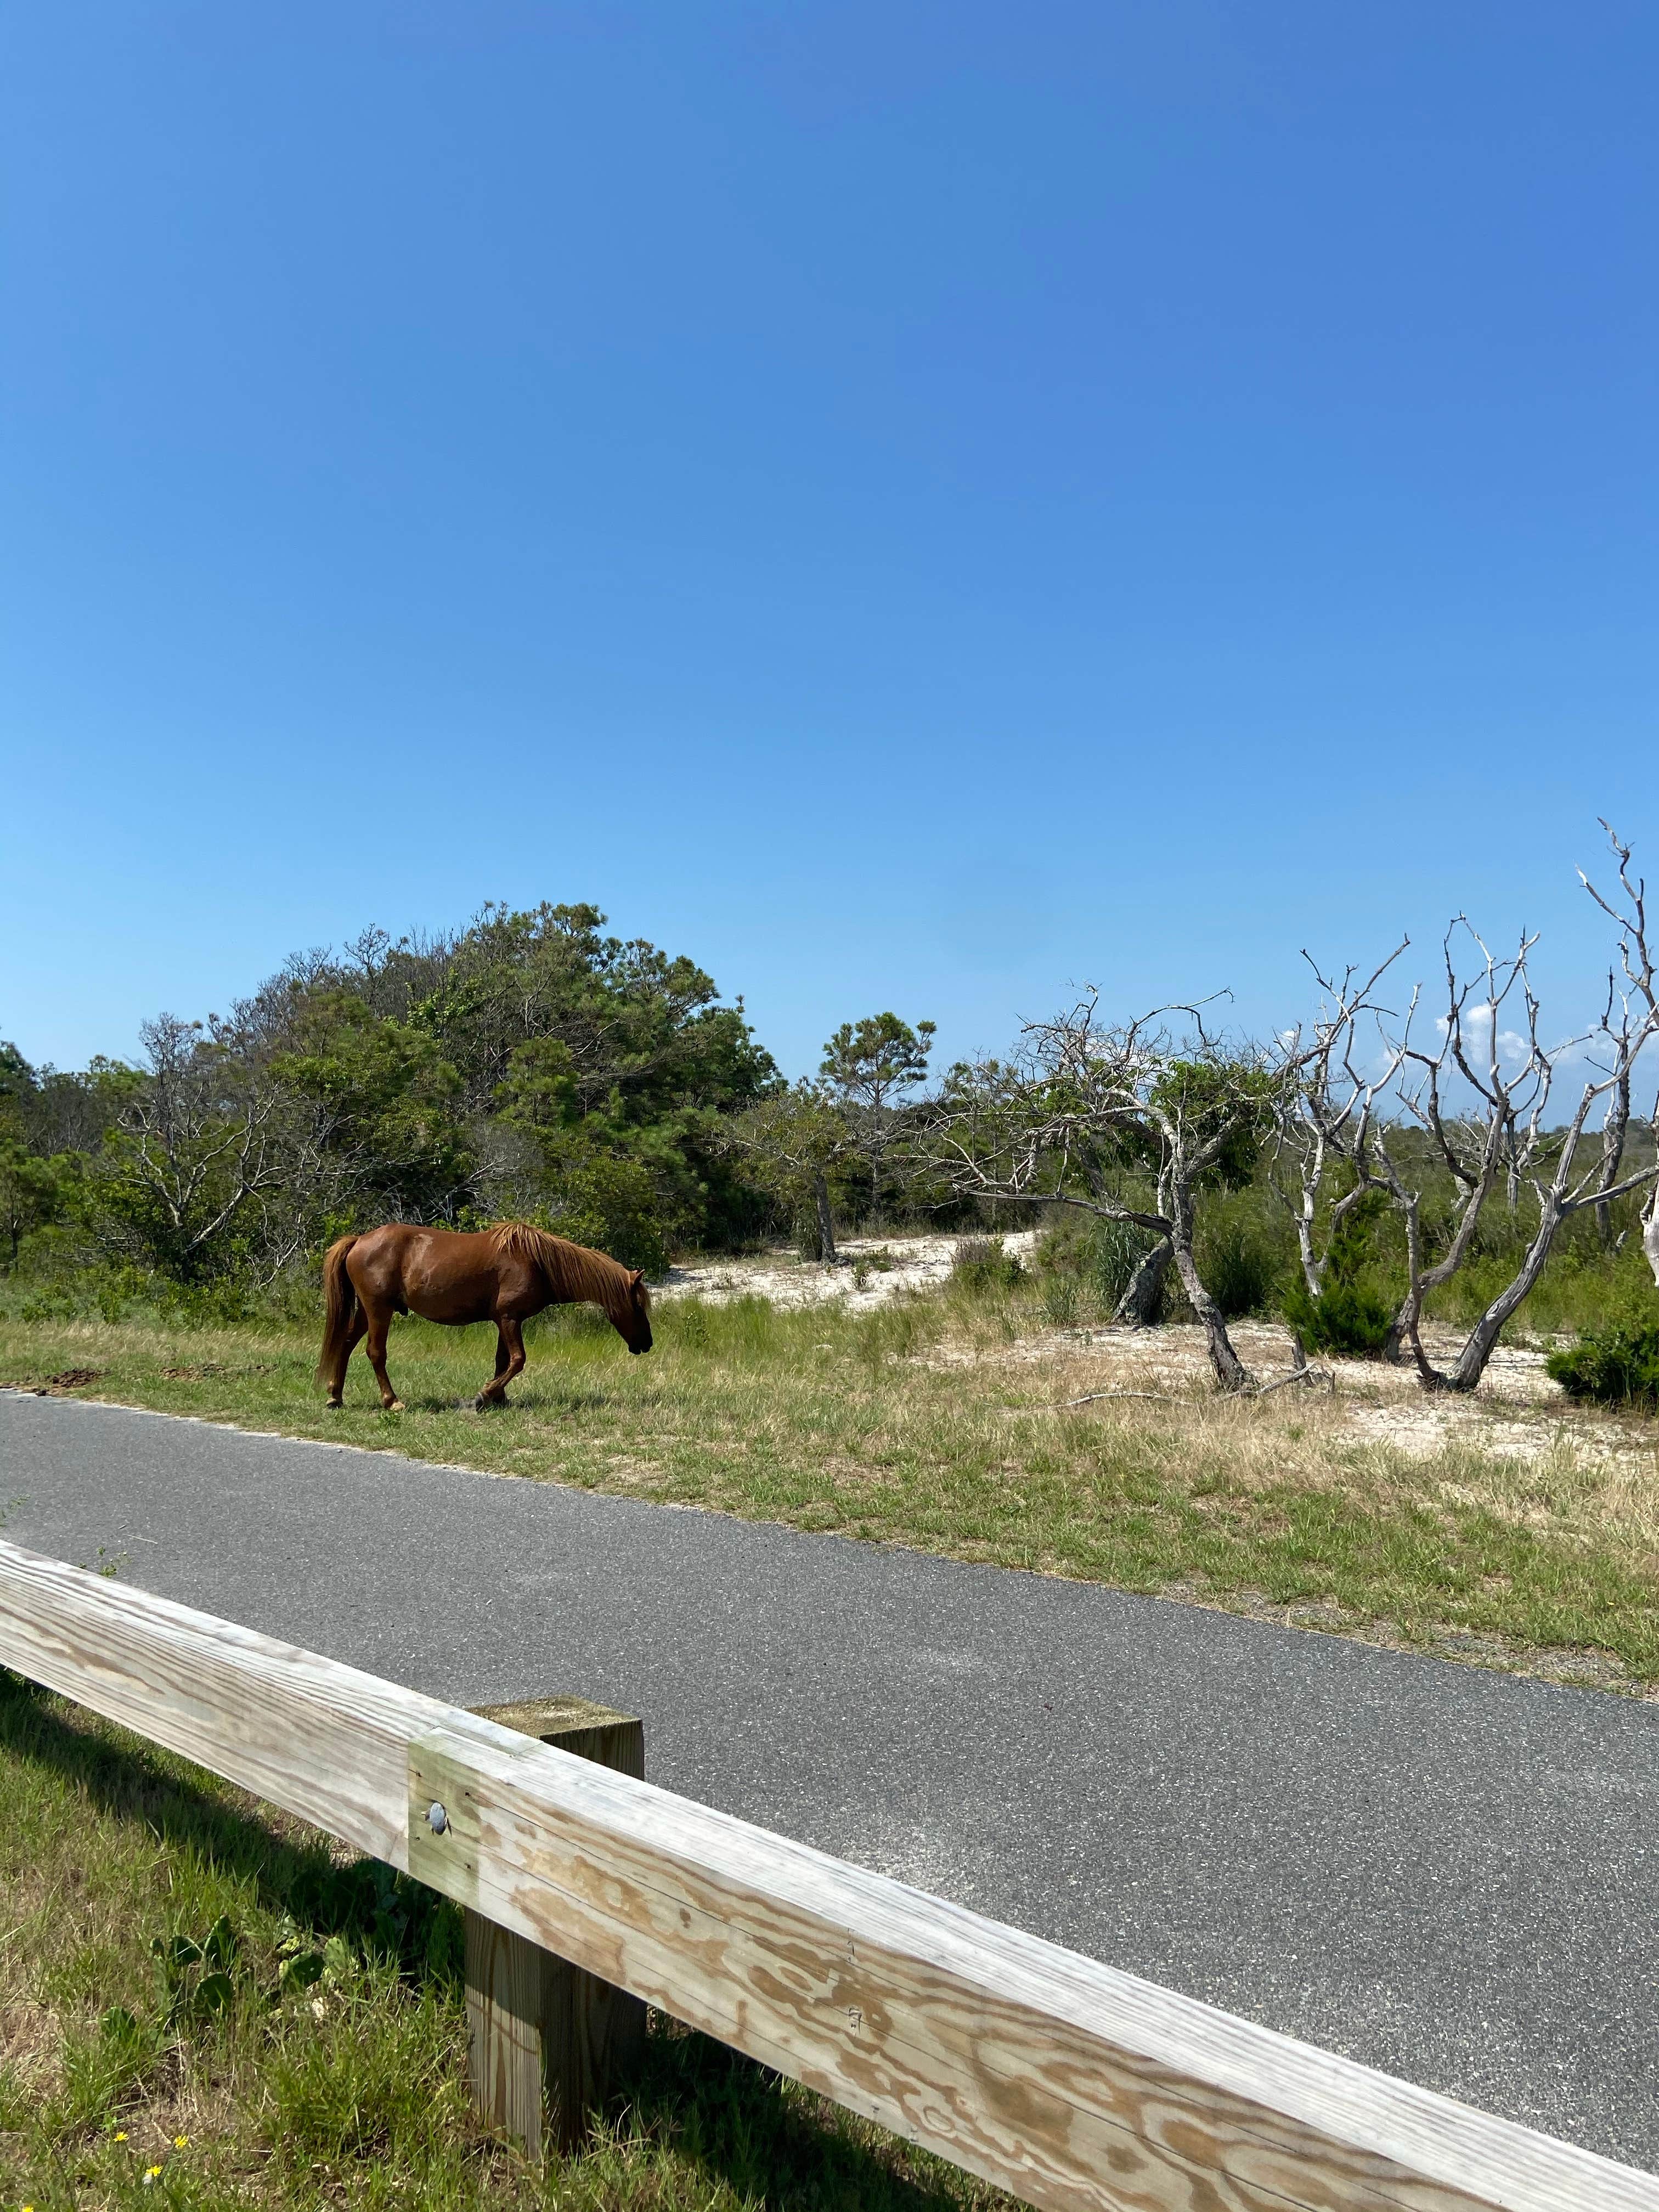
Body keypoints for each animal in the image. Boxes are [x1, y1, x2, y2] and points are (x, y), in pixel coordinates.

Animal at [315, 1221, 652, 1412]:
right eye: (638, 1306)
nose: (647, 1344)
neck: (538, 1262)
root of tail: (358, 1240)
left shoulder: (505, 1320)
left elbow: (503, 1361)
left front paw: (499, 1398)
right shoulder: (510, 1318)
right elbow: (518, 1360)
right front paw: (483, 1396)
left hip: (366, 1311)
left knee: (345, 1344)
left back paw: (336, 1397)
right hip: (378, 1310)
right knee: (376, 1353)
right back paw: (392, 1401)